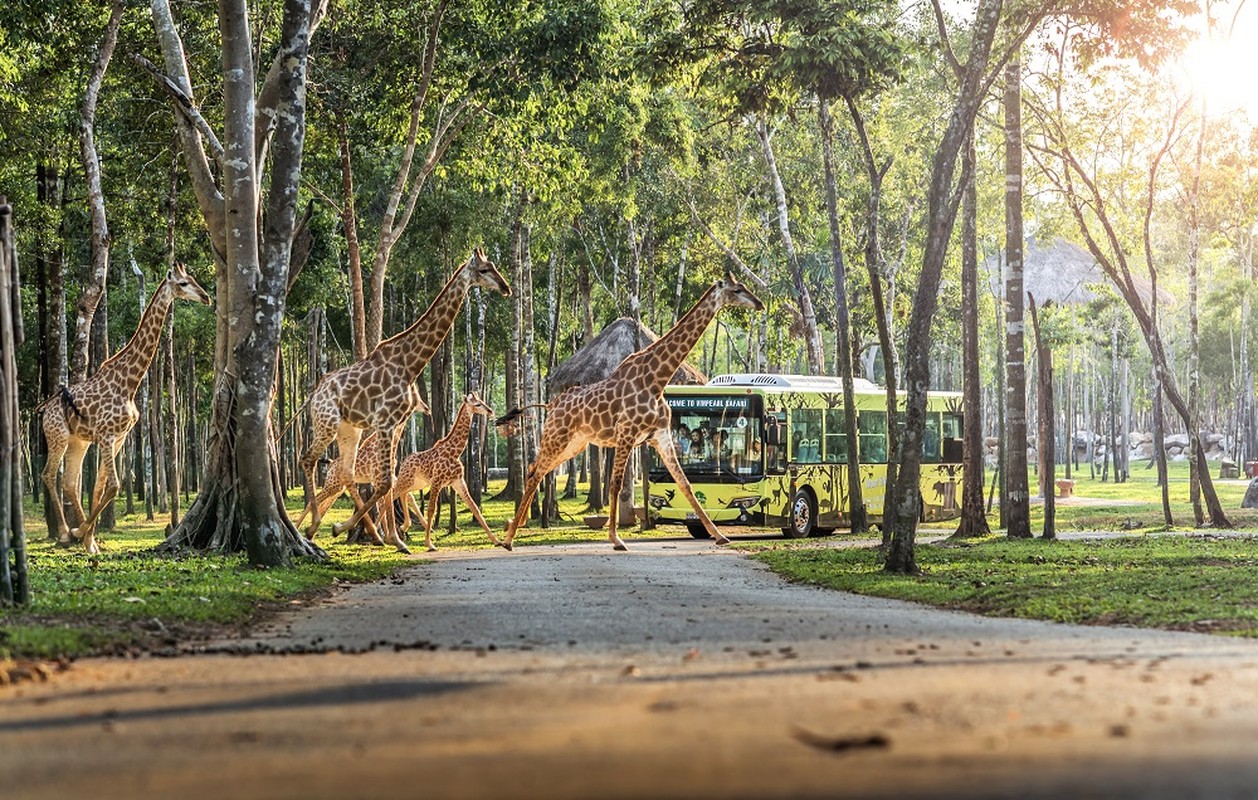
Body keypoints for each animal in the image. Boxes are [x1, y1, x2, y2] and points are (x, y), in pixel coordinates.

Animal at [40, 265, 210, 553]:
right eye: (184, 283)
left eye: (194, 280)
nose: (207, 297)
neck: (130, 383)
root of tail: (43, 410)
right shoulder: (107, 435)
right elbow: (115, 485)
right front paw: (80, 532)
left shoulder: (118, 437)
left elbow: (100, 487)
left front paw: (88, 539)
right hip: (57, 435)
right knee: (49, 475)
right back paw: (63, 532)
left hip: (78, 441)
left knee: (70, 482)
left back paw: (77, 533)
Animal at [387, 392, 500, 550]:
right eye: (477, 404)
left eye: (482, 401)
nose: (490, 411)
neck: (455, 452)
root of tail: (404, 461)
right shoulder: (437, 481)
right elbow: (431, 510)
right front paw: (429, 543)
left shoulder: (458, 481)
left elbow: (475, 508)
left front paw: (497, 541)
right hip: (406, 479)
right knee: (391, 495)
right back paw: (389, 533)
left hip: (417, 483)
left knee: (404, 494)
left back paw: (404, 527)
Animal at [495, 272, 759, 550]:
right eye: (737, 290)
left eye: (744, 287)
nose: (760, 304)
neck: (657, 379)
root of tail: (550, 405)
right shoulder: (627, 433)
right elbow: (616, 484)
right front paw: (615, 538)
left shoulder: (660, 435)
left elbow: (684, 483)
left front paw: (719, 535)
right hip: (557, 437)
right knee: (536, 471)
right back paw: (509, 538)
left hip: (574, 443)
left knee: (536, 469)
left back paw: (513, 531)